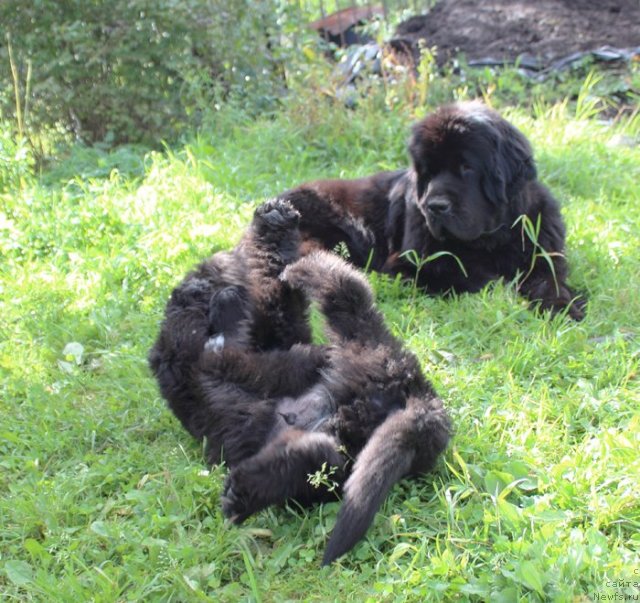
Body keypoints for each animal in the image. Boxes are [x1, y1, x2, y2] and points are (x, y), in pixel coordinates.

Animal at [149, 199, 450, 568]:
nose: (217, 265)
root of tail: (412, 389)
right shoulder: (219, 350)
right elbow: (262, 303)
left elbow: (270, 294)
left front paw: (271, 231)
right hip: (355, 360)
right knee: (346, 290)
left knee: (344, 288)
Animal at [280, 100, 584, 320]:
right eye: (428, 171)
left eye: (466, 167)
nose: (435, 206)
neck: (491, 240)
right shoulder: (408, 264)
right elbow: (477, 278)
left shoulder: (543, 255)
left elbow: (548, 281)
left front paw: (563, 308)